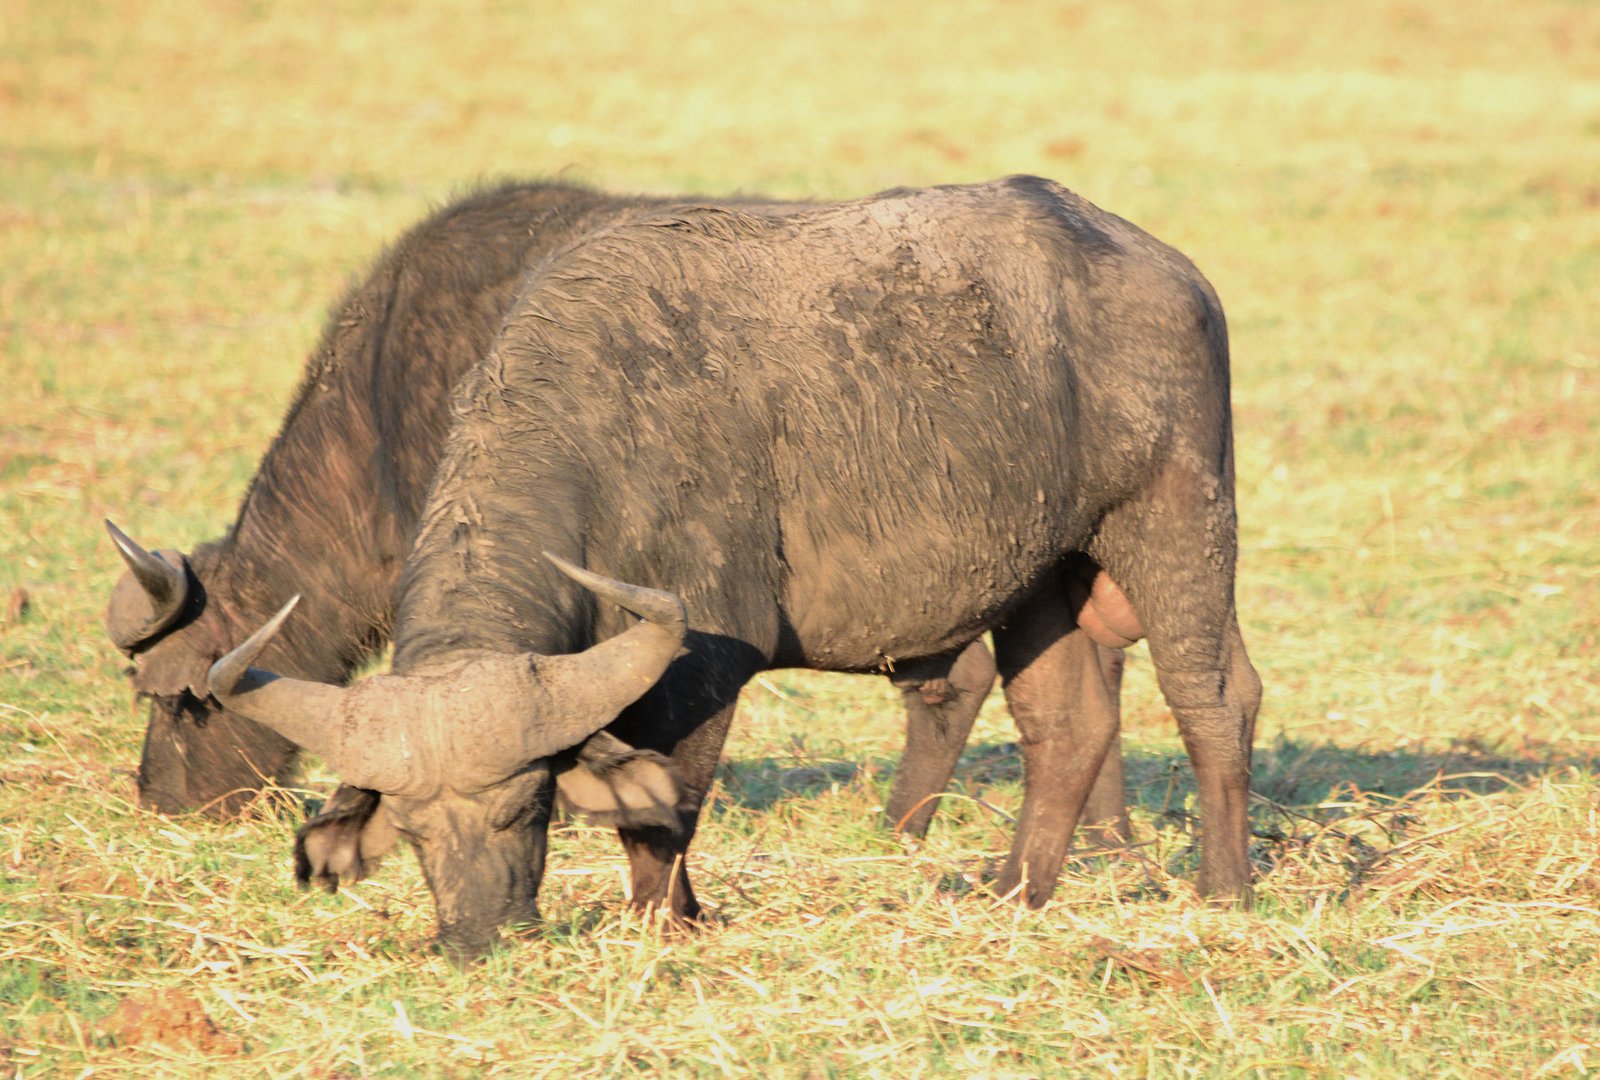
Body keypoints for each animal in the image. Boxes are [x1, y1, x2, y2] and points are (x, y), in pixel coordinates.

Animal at [209, 179, 1260, 966]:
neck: (599, 430)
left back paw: (1224, 890)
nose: (477, 938)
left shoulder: (704, 663)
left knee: (1215, 694)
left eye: (526, 804)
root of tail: (1167, 269)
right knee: (1066, 723)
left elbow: (668, 806)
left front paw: (659, 921)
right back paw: (1012, 895)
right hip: (1041, 575)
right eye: (415, 829)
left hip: (1178, 518)